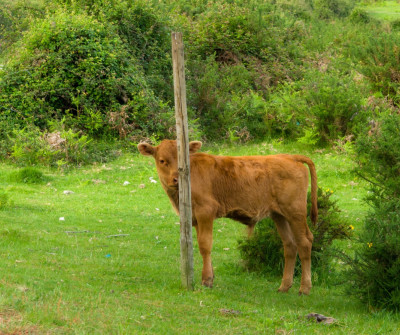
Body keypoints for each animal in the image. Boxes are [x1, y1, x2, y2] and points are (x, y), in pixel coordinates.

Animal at [139, 140, 318, 296]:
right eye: (162, 160)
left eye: (183, 159)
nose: (176, 179)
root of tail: (290, 156)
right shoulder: (195, 218)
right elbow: (202, 243)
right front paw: (210, 277)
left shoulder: (206, 210)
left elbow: (205, 245)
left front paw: (206, 279)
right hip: (279, 215)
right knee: (290, 245)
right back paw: (284, 286)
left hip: (295, 212)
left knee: (304, 242)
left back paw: (304, 288)